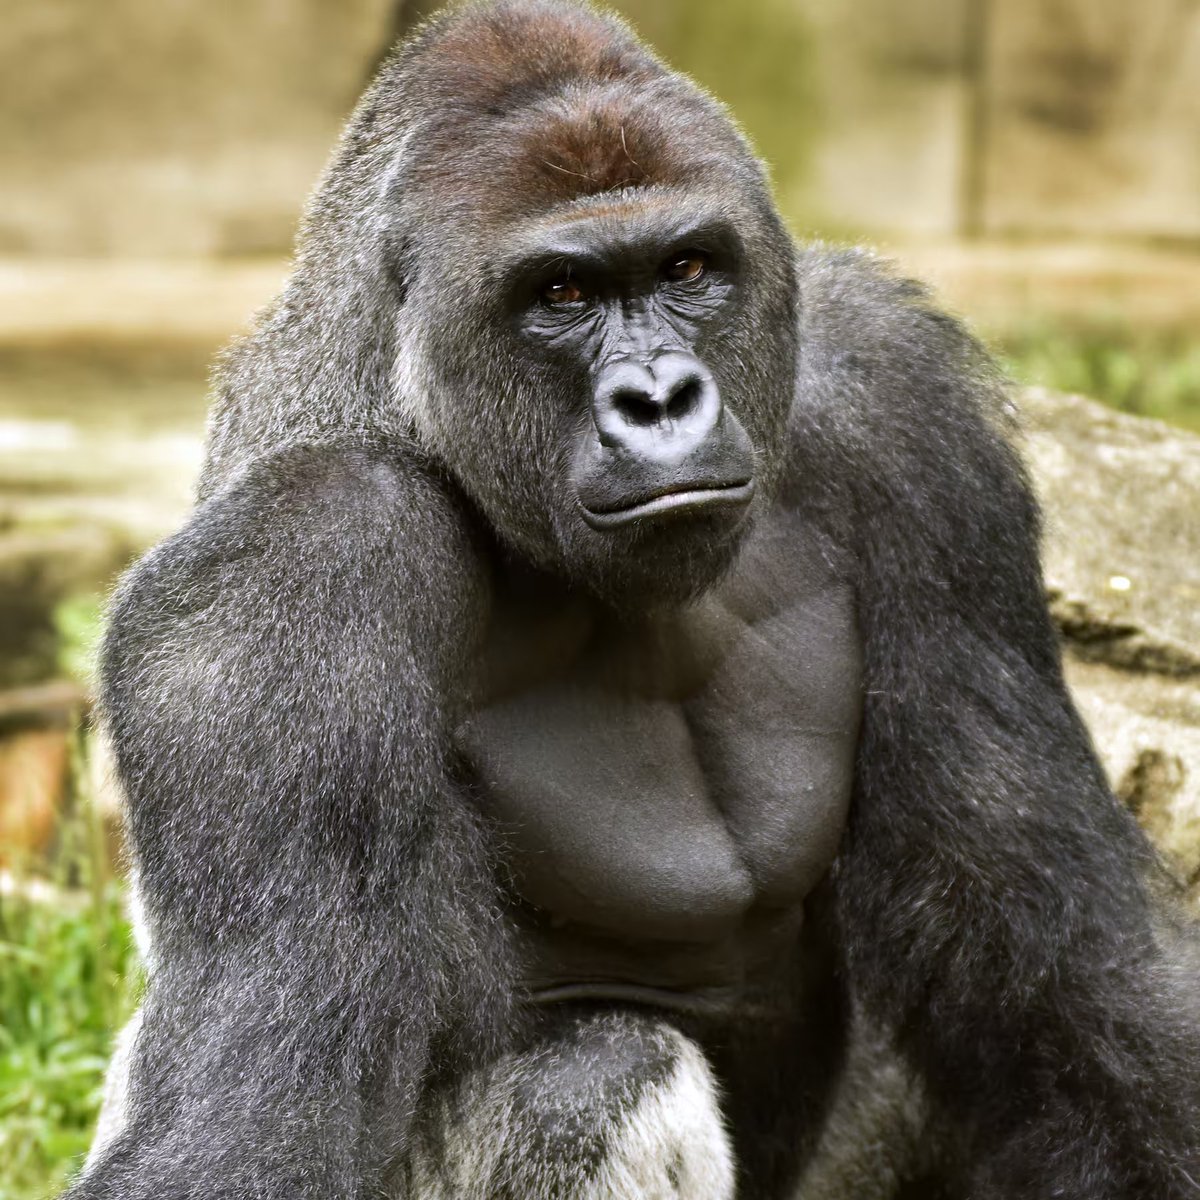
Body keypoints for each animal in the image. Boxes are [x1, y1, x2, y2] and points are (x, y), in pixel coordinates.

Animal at [71, 2, 1200, 1197]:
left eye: (687, 267)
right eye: (560, 295)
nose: (659, 399)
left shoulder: (902, 406)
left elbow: (1074, 978)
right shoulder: (295, 567)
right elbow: (261, 1118)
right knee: (596, 1072)